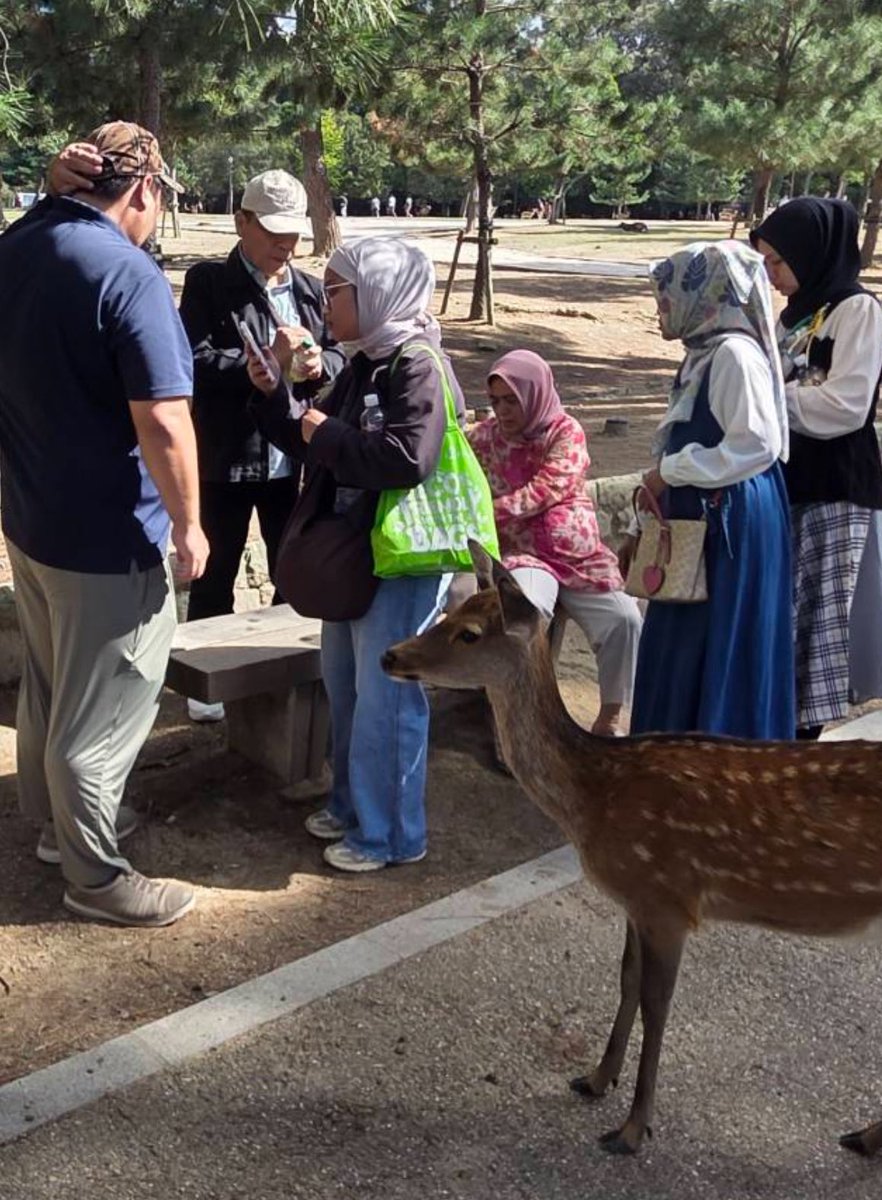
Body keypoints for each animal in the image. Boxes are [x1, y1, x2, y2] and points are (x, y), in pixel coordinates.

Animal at [381, 541, 882, 1159]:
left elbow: (657, 1005)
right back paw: (865, 1135)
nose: (390, 654)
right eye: (449, 611)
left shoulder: (668, 899)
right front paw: (596, 1078)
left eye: (469, 632)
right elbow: (624, 979)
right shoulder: (634, 900)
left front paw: (633, 1129)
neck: (594, 798)